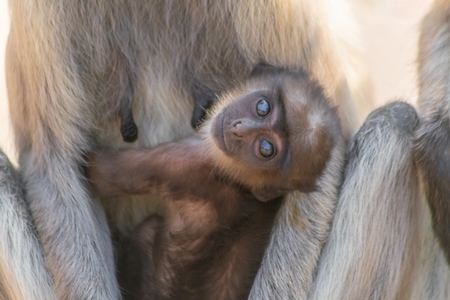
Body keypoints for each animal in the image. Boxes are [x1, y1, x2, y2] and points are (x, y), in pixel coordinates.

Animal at [88, 66, 342, 300]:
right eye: (263, 107)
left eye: (265, 148)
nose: (239, 128)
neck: (238, 182)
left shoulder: (186, 161)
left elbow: (99, 173)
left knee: (146, 231)